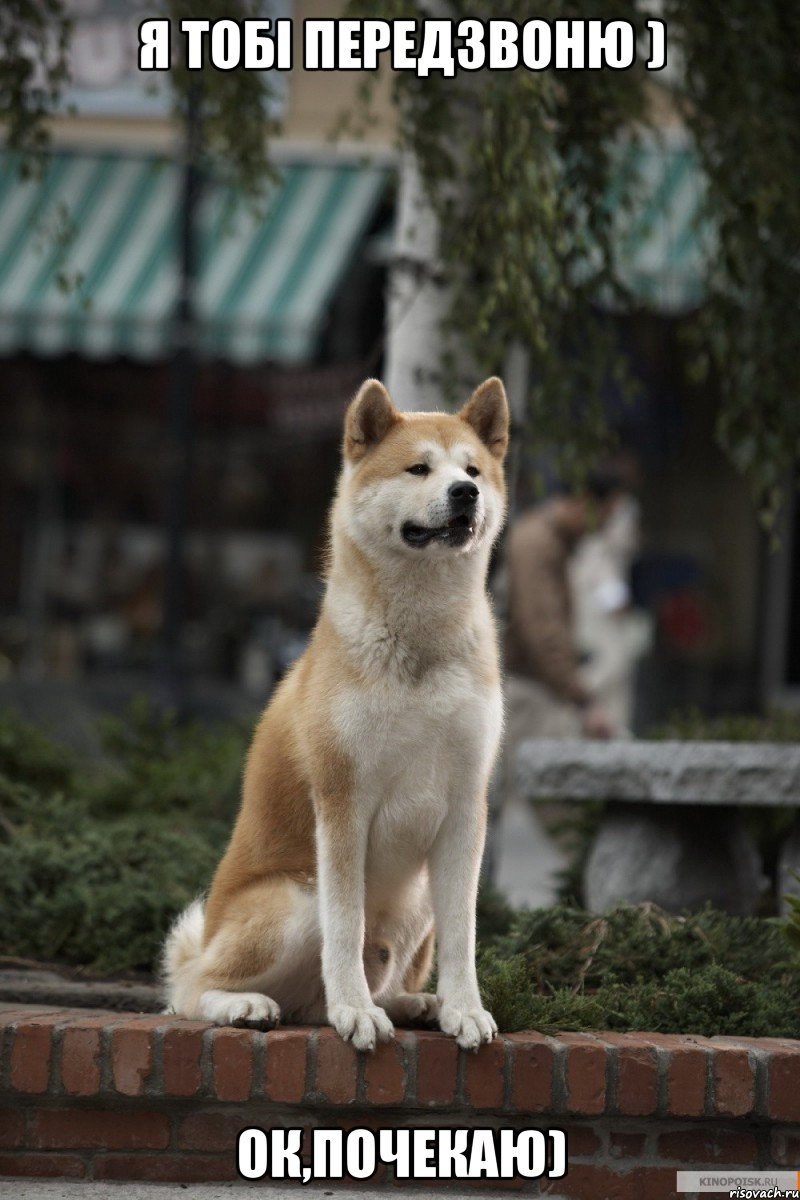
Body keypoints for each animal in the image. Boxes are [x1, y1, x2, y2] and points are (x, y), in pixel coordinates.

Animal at [164, 374, 506, 1051]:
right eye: (419, 468)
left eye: (473, 469)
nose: (466, 493)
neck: (420, 644)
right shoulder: (344, 801)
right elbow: (345, 928)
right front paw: (355, 1011)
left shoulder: (465, 806)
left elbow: (465, 934)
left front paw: (464, 1009)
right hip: (296, 900)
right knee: (189, 990)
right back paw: (251, 1004)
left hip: (416, 900)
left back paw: (413, 1003)